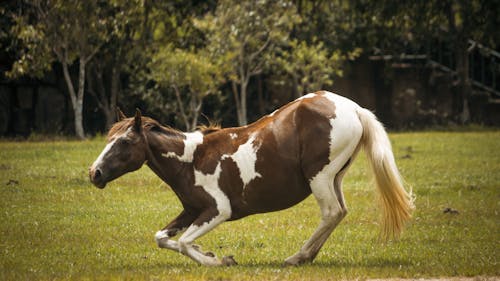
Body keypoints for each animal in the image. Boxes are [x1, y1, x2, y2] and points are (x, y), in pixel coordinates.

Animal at [89, 90, 414, 264]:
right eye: (109, 138)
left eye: (124, 142)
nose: (95, 173)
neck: (190, 159)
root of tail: (354, 108)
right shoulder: (192, 210)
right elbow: (162, 238)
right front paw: (207, 252)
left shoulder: (217, 210)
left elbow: (182, 243)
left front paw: (219, 260)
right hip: (334, 178)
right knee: (340, 212)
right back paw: (306, 256)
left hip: (320, 178)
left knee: (332, 212)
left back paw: (297, 257)